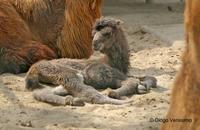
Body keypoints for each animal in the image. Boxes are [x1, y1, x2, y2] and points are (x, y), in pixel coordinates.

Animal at [25, 17, 157, 106]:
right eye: (94, 34)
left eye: (107, 33)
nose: (94, 44)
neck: (111, 62)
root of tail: (33, 68)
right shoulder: (104, 75)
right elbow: (131, 82)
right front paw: (119, 93)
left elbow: (150, 77)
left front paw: (143, 86)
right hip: (65, 73)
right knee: (88, 93)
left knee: (43, 92)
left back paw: (72, 100)